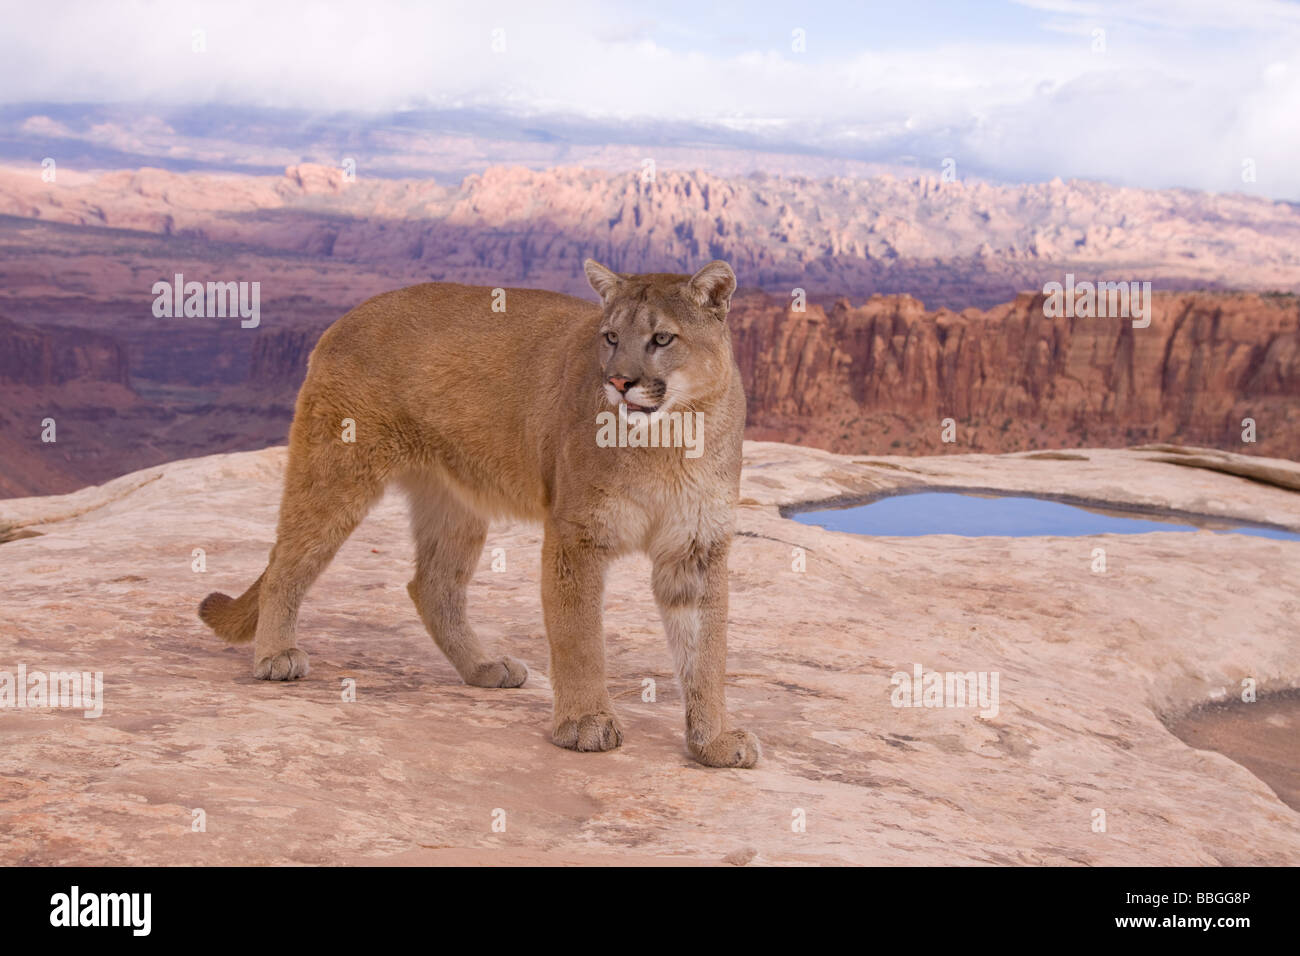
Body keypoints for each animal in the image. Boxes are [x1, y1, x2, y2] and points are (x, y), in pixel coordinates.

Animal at [196, 257, 759, 764]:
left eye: (662, 339)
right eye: (610, 337)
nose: (619, 382)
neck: (669, 442)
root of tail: (347, 315)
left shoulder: (696, 548)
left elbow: (706, 651)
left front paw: (713, 741)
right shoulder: (576, 535)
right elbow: (579, 638)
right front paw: (584, 723)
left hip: (455, 501)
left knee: (431, 585)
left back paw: (484, 668)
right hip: (337, 470)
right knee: (287, 560)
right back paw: (275, 655)